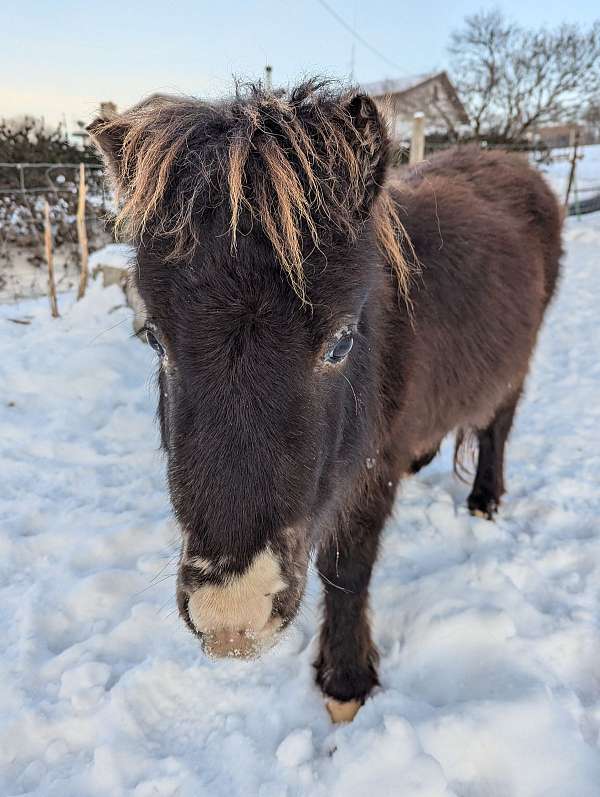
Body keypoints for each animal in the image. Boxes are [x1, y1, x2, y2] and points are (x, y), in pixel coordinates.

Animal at [90, 79, 564, 720]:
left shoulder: (370, 467)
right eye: (154, 338)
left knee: (497, 427)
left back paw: (484, 501)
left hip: (518, 365)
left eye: (340, 342)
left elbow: (347, 566)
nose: (232, 615)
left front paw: (345, 682)